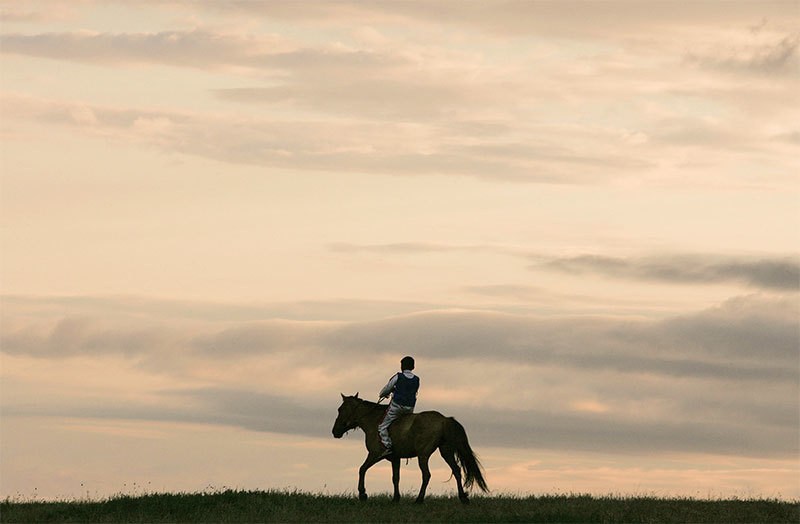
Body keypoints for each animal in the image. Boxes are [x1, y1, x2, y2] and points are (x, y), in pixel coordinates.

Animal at [332, 392, 488, 504]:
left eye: (340, 409)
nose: (335, 431)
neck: (373, 421)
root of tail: (444, 419)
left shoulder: (375, 454)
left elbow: (362, 469)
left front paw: (362, 493)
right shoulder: (395, 459)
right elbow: (395, 477)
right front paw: (395, 498)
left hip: (423, 455)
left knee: (427, 475)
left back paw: (419, 499)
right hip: (446, 452)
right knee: (456, 470)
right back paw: (463, 498)